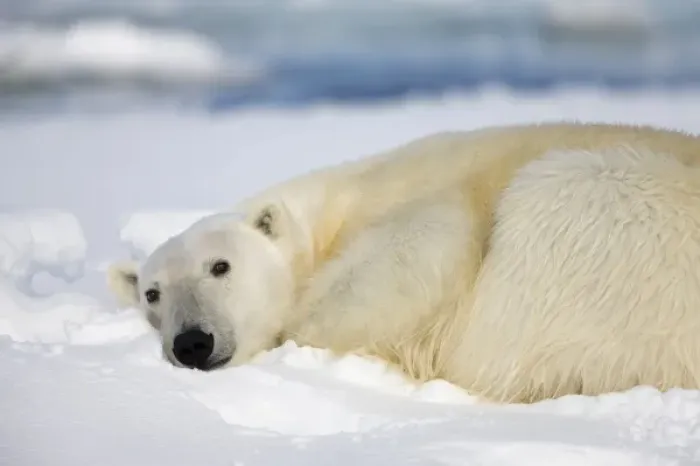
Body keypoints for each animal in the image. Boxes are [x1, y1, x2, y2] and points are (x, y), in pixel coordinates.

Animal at [107, 122, 700, 404]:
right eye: (152, 293)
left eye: (220, 266)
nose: (192, 342)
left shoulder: (426, 203)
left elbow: (418, 253)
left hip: (595, 214)